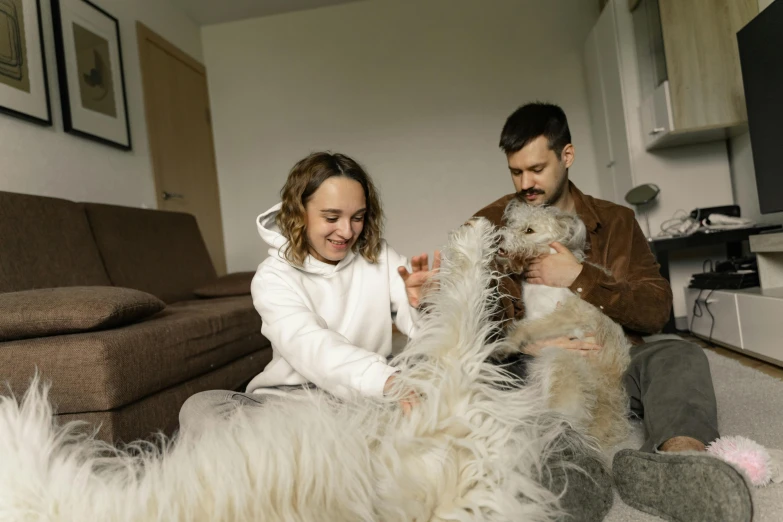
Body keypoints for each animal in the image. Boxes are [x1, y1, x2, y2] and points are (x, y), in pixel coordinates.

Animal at [500, 199, 632, 446]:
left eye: (529, 230)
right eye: (512, 223)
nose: (499, 240)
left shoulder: (569, 314)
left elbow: (528, 327)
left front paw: (508, 343)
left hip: (560, 361)